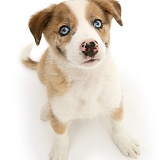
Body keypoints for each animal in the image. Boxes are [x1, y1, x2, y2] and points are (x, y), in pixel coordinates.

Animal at [22, 0, 140, 159]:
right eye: (64, 30)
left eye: (97, 23)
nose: (90, 45)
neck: (86, 78)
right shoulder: (59, 119)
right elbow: (60, 137)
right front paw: (59, 153)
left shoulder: (115, 104)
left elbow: (119, 126)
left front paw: (126, 143)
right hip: (42, 72)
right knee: (47, 88)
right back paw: (47, 108)